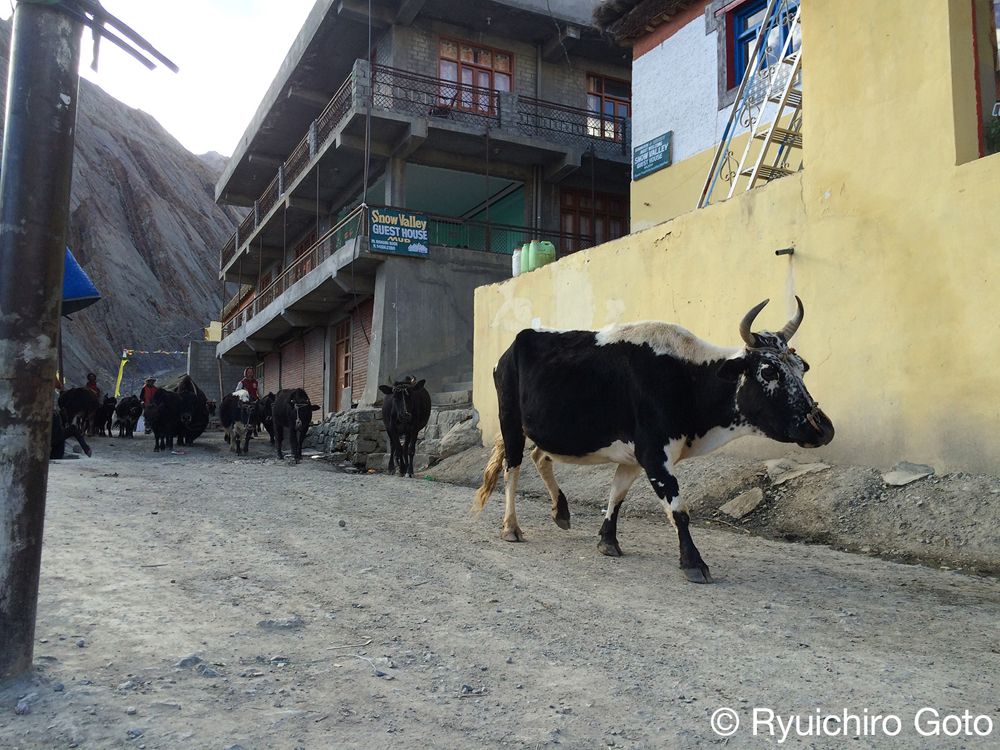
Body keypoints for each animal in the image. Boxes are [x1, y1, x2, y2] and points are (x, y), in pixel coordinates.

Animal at [472, 300, 832, 588]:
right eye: (769, 371)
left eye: (802, 368)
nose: (823, 428)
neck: (688, 378)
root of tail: (513, 346)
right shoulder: (654, 454)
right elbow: (679, 510)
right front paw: (694, 563)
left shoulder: (634, 457)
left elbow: (616, 495)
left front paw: (607, 540)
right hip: (510, 421)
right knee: (512, 468)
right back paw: (511, 527)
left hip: (549, 431)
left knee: (540, 457)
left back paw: (561, 511)